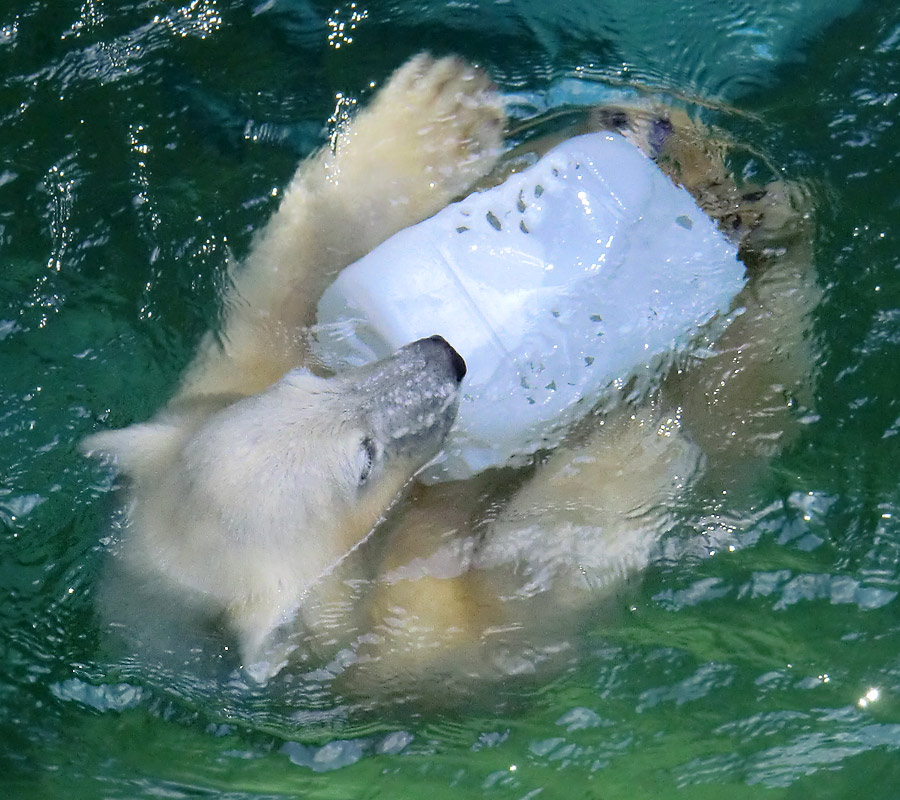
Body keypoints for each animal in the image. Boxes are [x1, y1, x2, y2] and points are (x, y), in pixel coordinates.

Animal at [84, 54, 816, 688]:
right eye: (363, 462)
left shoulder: (216, 385)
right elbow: (511, 606)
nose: (447, 354)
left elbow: (289, 282)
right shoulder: (405, 650)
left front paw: (434, 112)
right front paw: (633, 445)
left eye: (308, 384)